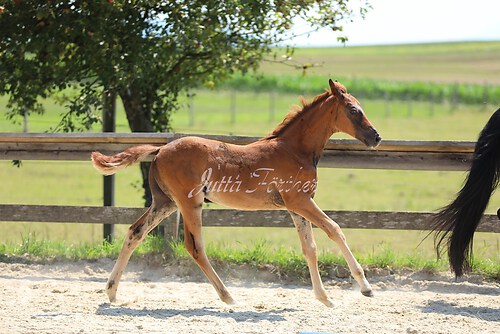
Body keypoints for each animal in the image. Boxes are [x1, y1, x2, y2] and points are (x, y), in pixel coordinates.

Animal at [92, 79, 380, 306]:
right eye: (354, 110)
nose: (376, 137)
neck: (294, 150)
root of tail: (160, 149)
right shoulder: (301, 201)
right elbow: (335, 230)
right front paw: (365, 287)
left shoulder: (296, 207)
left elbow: (309, 248)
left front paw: (324, 298)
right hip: (189, 203)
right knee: (194, 246)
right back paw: (228, 296)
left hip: (165, 203)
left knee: (135, 232)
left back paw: (112, 292)